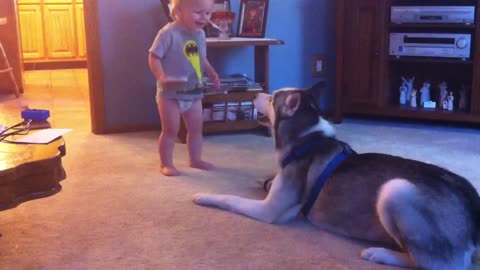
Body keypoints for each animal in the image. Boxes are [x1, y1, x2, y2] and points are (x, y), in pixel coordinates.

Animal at [193, 87, 480, 268]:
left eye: (272, 98)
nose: (254, 94)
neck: (307, 139)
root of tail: (472, 208)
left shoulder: (269, 210)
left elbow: (229, 198)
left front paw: (203, 196)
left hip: (396, 190)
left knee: (431, 264)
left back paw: (381, 254)